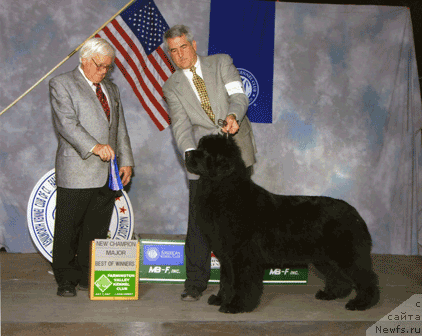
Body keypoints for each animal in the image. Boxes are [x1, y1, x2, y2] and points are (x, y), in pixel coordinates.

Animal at [185, 135, 380, 316]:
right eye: (199, 146)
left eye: (206, 151)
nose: (187, 153)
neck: (224, 191)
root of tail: (354, 213)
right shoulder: (226, 255)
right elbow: (226, 280)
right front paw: (220, 299)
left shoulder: (243, 255)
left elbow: (243, 283)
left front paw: (236, 306)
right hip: (324, 257)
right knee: (340, 278)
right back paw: (330, 294)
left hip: (347, 254)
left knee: (367, 278)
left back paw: (361, 303)